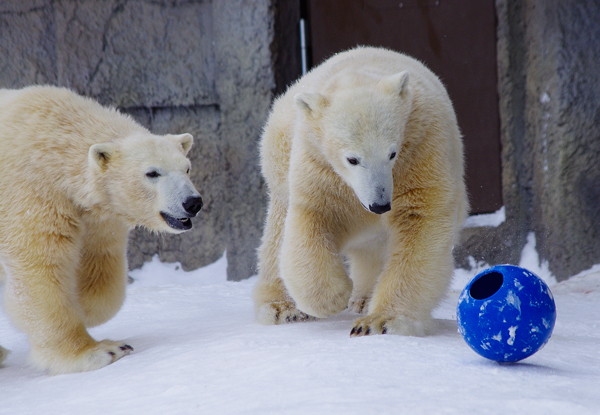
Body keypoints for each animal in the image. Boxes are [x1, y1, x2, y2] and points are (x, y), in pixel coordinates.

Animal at [0, 85, 204, 374]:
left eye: (187, 168)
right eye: (152, 173)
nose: (192, 203)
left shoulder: (97, 217)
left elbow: (100, 266)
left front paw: (84, 307)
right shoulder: (30, 194)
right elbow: (40, 268)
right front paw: (101, 351)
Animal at [253, 47, 468, 336]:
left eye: (392, 153)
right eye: (352, 159)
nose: (380, 204)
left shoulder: (422, 146)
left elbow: (420, 221)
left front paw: (380, 321)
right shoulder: (319, 164)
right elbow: (313, 217)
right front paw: (333, 296)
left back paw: (364, 299)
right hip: (279, 163)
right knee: (277, 234)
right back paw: (281, 308)